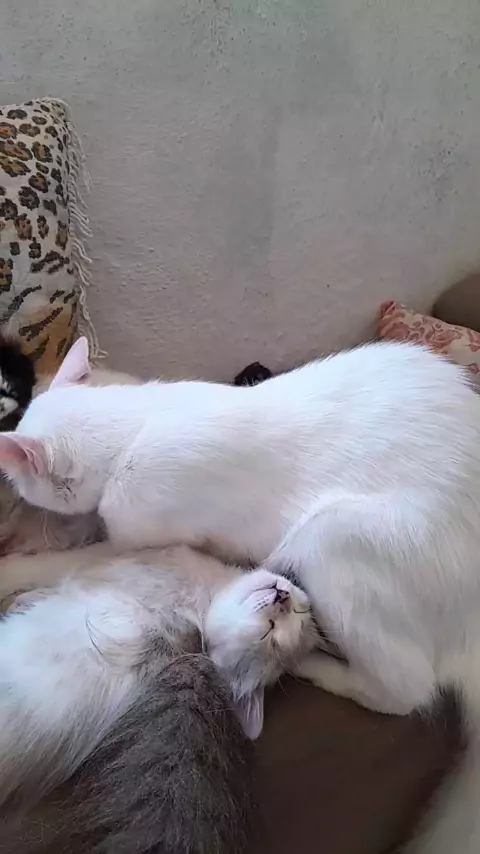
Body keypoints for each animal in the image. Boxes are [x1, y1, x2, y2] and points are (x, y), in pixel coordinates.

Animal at [3, 337, 480, 851]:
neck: (138, 424)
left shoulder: (138, 540)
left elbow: (64, 560)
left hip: (330, 538)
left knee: (409, 690)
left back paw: (316, 666)